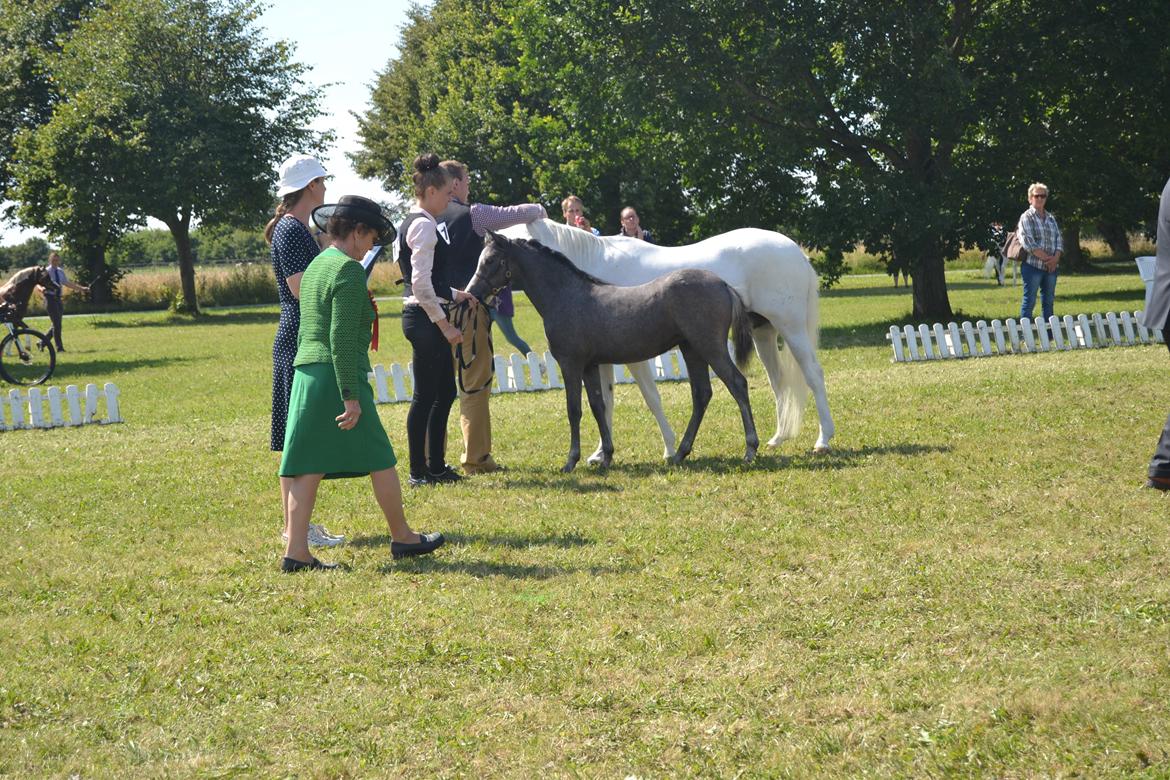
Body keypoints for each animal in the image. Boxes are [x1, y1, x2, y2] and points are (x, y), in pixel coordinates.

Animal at [465, 231, 758, 472]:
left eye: (491, 260)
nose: (471, 292)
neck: (566, 295)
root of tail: (723, 284)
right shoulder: (590, 366)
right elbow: (598, 405)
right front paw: (606, 457)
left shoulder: (571, 364)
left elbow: (574, 409)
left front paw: (571, 461)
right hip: (692, 350)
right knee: (701, 394)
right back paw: (680, 453)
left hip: (709, 346)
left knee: (737, 384)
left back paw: (750, 449)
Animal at [498, 219, 837, 458]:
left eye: (499, 247)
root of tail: (796, 251)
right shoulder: (599, 359)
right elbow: (604, 402)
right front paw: (600, 453)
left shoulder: (630, 358)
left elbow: (651, 398)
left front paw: (669, 447)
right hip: (764, 334)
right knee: (778, 382)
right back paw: (778, 438)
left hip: (791, 328)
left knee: (813, 376)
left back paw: (823, 439)